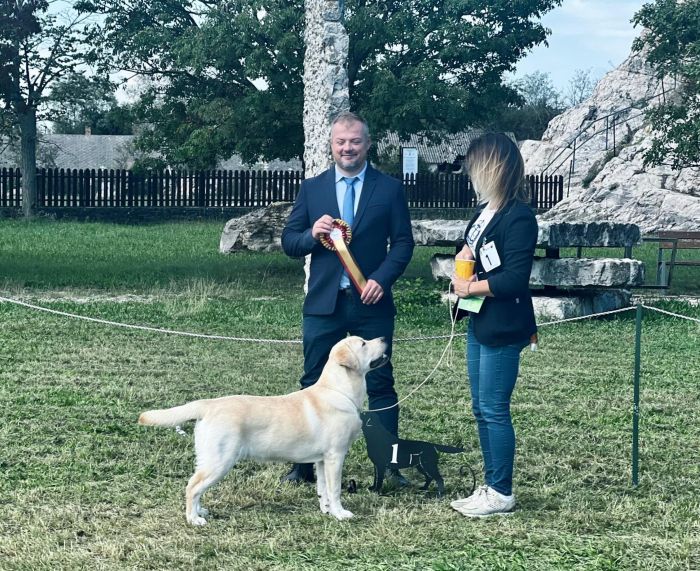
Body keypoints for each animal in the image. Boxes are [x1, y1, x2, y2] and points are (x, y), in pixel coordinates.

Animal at [139, 336, 388, 525]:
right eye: (363, 343)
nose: (385, 338)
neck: (339, 390)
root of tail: (208, 404)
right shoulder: (336, 455)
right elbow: (335, 489)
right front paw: (340, 514)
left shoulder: (322, 460)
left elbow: (324, 489)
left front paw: (326, 510)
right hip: (220, 460)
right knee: (192, 487)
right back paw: (194, 519)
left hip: (210, 459)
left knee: (197, 487)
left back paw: (200, 511)